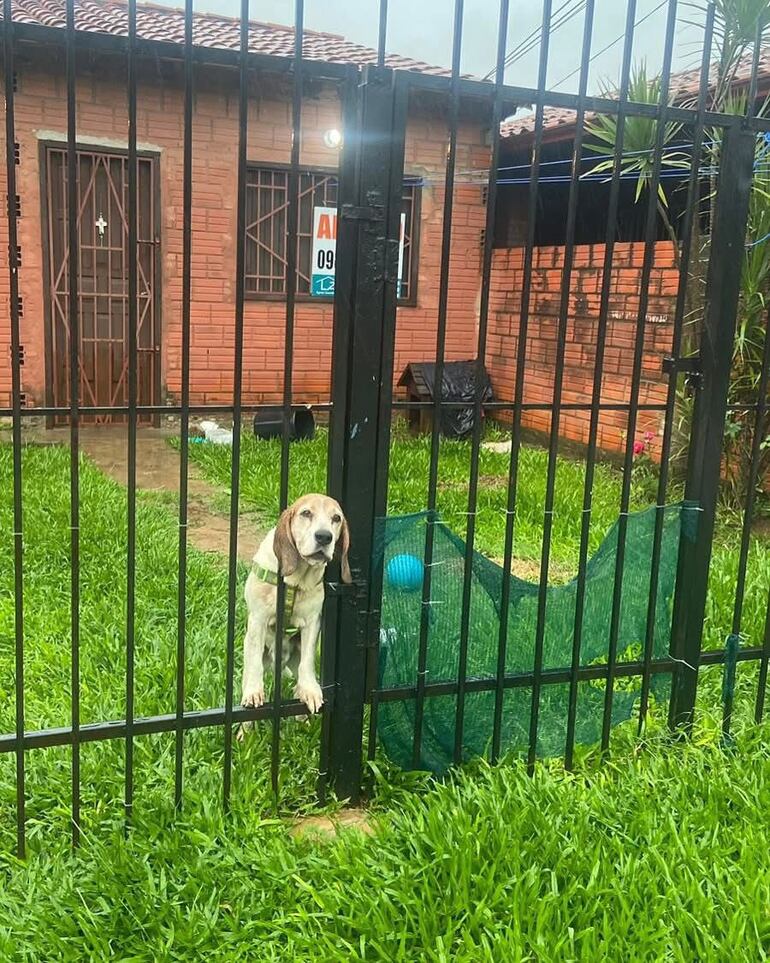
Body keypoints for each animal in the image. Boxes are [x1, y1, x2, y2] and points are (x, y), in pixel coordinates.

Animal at [242, 498, 350, 716]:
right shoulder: (258, 619)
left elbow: (307, 662)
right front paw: (254, 691)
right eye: (306, 513)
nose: (324, 537)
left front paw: (309, 689)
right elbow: (255, 663)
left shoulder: (312, 622)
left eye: (336, 518)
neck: (296, 579)